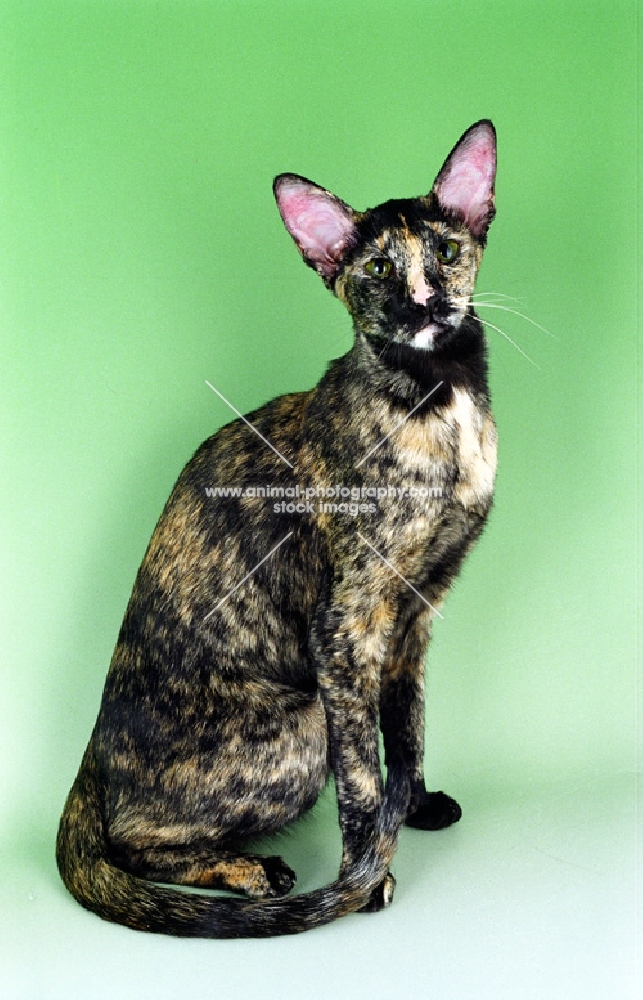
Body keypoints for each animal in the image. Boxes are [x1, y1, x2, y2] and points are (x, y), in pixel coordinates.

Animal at [56, 119, 498, 936]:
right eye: (378, 269)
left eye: (447, 253)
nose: (424, 305)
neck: (439, 402)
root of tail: (89, 762)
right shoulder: (347, 626)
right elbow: (362, 773)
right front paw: (366, 877)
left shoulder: (417, 613)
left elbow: (408, 727)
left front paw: (415, 805)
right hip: (303, 723)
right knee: (132, 842)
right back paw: (250, 871)